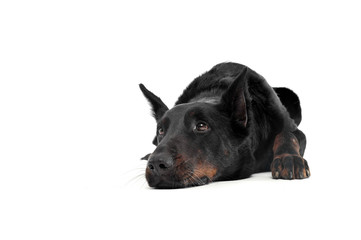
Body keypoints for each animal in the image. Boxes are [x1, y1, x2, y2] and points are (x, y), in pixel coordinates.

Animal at [139, 62, 308, 189]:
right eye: (161, 130)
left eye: (201, 126)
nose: (156, 164)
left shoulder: (295, 131)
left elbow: (287, 134)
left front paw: (288, 157)